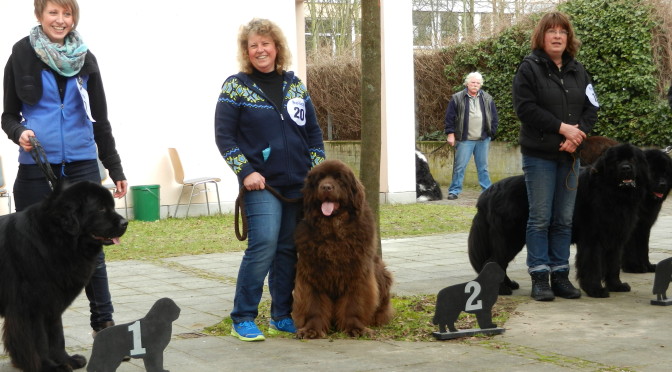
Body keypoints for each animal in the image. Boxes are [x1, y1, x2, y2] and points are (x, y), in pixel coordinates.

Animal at [0, 179, 128, 370]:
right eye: (100, 208)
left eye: (112, 206)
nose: (125, 222)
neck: (55, 238)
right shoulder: (31, 306)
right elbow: (38, 341)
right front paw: (48, 366)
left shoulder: (53, 301)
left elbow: (57, 335)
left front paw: (67, 360)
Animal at [292, 158, 394, 338]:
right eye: (320, 179)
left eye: (339, 179)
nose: (326, 187)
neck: (333, 229)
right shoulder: (311, 273)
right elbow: (313, 304)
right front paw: (311, 329)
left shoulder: (358, 273)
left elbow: (354, 304)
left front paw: (355, 328)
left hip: (381, 271)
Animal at [468, 144, 656, 298]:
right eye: (617, 160)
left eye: (632, 159)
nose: (626, 168)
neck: (612, 193)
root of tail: (488, 193)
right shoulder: (592, 239)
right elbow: (593, 265)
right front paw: (595, 289)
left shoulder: (617, 236)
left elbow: (614, 264)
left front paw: (616, 285)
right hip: (510, 237)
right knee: (492, 261)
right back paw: (501, 290)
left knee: (499, 263)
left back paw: (509, 285)